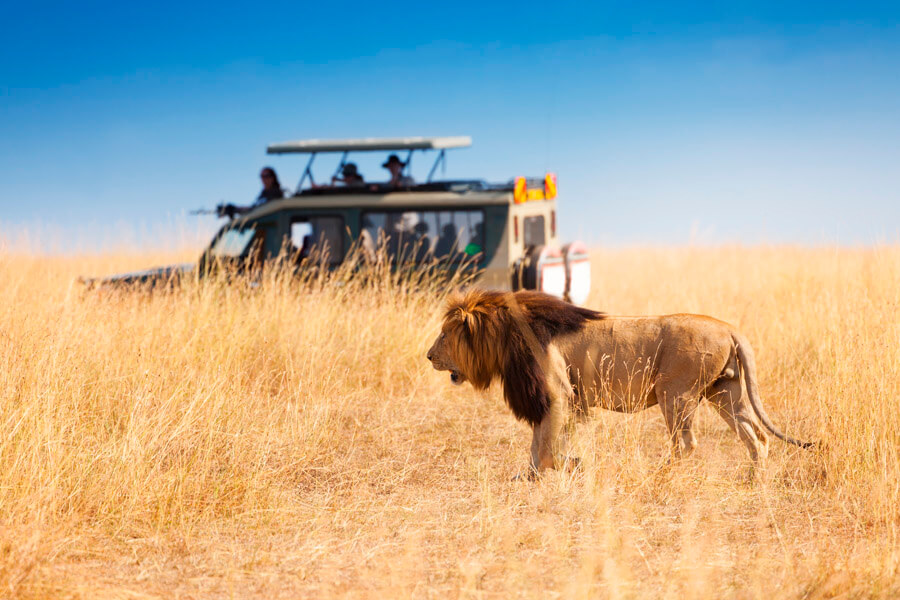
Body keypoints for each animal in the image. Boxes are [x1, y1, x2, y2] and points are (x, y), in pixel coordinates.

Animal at [426, 288, 812, 476]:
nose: (429, 356)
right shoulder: (550, 400)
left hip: (676, 394)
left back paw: (661, 475)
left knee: (687, 444)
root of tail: (730, 328)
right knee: (756, 436)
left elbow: (547, 448)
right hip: (725, 392)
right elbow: (538, 446)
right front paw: (532, 476)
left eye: (444, 335)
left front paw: (572, 465)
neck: (506, 336)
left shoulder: (558, 395)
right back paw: (753, 480)